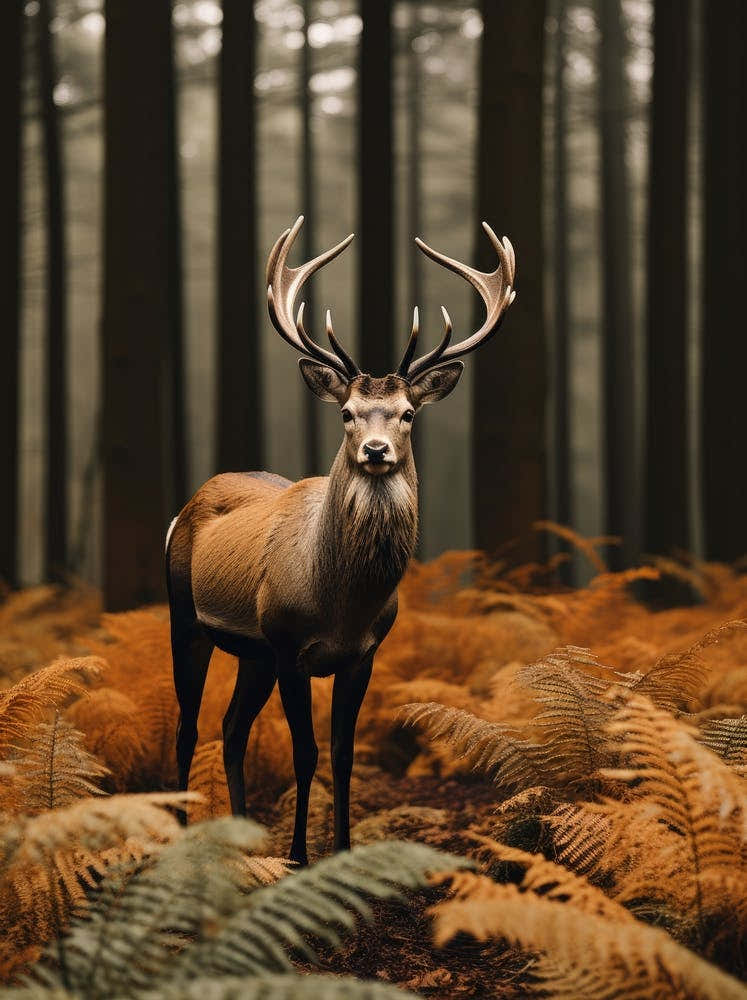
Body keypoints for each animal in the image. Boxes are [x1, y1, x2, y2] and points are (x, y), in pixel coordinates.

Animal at [166, 215, 516, 864]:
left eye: (407, 414)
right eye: (348, 412)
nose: (375, 451)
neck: (340, 603)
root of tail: (187, 506)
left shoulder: (363, 653)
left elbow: (345, 756)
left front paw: (344, 850)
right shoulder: (287, 643)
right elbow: (305, 754)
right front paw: (300, 855)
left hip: (251, 652)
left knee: (231, 728)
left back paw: (241, 834)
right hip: (186, 617)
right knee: (187, 726)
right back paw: (175, 833)